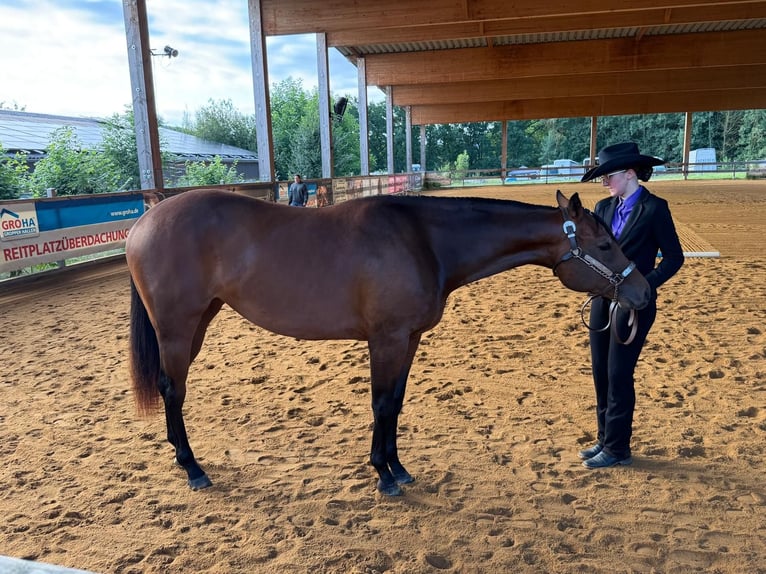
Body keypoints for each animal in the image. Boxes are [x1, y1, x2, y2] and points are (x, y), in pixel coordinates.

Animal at [126, 188, 650, 495]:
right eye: (604, 245)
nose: (643, 293)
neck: (423, 239)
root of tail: (144, 223)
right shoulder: (387, 340)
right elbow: (380, 404)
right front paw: (382, 475)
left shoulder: (408, 340)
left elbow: (395, 404)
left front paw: (397, 468)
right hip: (178, 328)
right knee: (173, 389)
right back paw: (193, 469)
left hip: (198, 323)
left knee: (171, 388)